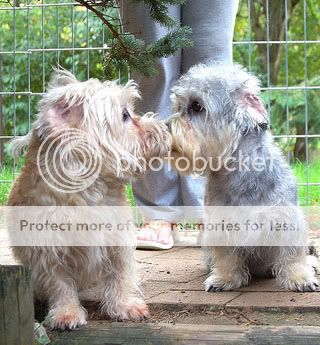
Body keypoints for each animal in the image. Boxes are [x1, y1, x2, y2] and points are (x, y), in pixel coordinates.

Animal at [8, 69, 172, 328]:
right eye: (125, 115)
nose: (165, 126)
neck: (89, 194)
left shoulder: (117, 242)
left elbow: (119, 275)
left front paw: (124, 305)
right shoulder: (45, 253)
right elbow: (59, 284)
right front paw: (66, 312)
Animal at [169, 63, 318, 292]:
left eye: (197, 106)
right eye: (178, 105)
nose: (164, 128)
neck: (241, 170)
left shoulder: (286, 220)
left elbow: (292, 254)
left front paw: (299, 277)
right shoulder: (220, 224)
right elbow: (226, 256)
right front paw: (224, 278)